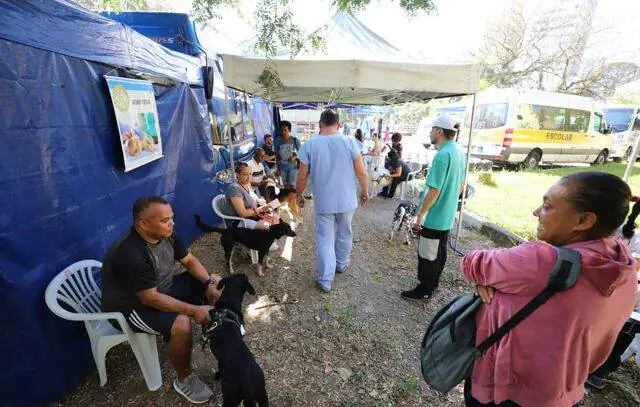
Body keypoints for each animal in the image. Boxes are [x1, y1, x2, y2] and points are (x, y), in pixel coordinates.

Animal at [202, 274, 268, 407]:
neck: (229, 305)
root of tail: (247, 383)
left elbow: (220, 366)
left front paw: (218, 375)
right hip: (262, 395)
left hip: (230, 397)